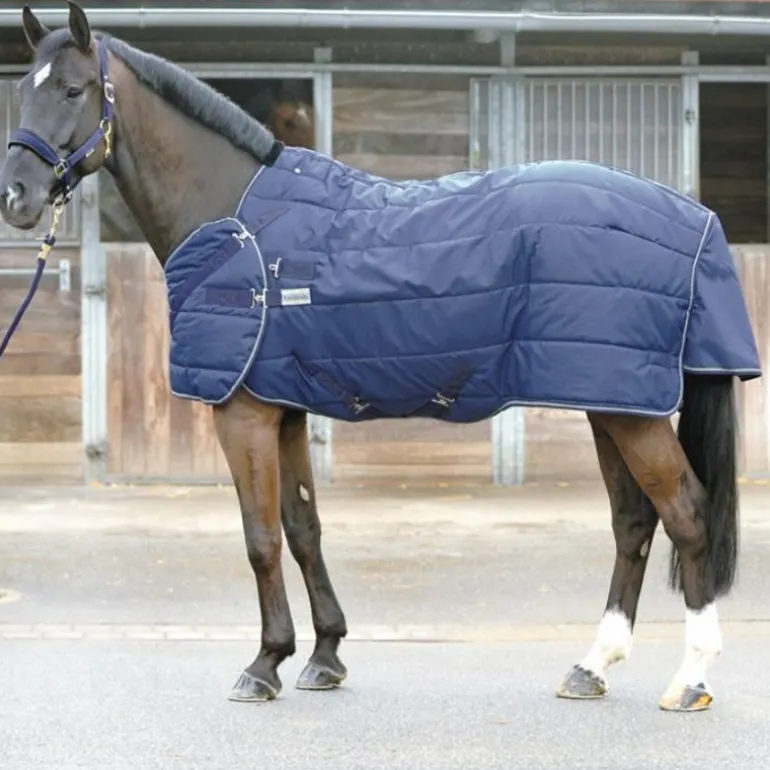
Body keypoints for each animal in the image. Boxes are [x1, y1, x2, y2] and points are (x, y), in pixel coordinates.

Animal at [0, 2, 762, 714]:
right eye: (21, 92)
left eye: (71, 89)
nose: (17, 198)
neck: (239, 221)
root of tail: (694, 219)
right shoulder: (284, 410)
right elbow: (303, 528)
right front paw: (323, 655)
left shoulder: (243, 414)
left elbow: (260, 537)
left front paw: (262, 664)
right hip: (609, 400)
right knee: (634, 521)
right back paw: (592, 666)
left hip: (629, 411)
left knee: (687, 515)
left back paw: (691, 679)